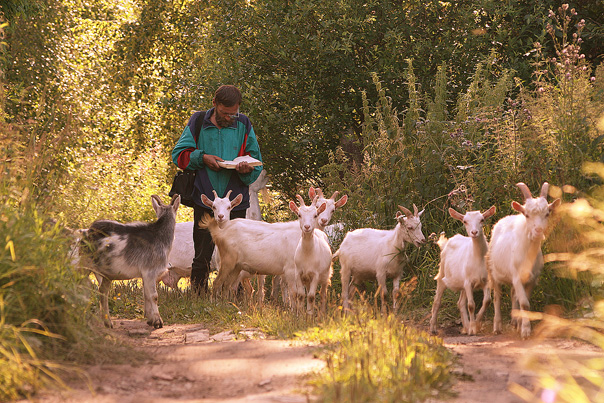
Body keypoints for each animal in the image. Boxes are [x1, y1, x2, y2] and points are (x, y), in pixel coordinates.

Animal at [81, 194, 179, 330]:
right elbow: (153, 296)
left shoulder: (145, 275)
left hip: (104, 272)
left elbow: (146, 294)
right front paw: (158, 322)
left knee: (102, 291)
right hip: (85, 264)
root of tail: (88, 231)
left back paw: (107, 322)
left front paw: (150, 320)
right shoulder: (150, 271)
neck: (160, 237)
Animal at [430, 207, 496, 336]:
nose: (474, 232)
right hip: (442, 274)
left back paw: (466, 327)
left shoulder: (485, 281)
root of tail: (446, 243)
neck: (478, 259)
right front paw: (473, 328)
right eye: (465, 221)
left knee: (460, 303)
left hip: (462, 283)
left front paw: (476, 324)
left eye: (482, 219)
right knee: (437, 301)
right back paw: (433, 328)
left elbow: (487, 301)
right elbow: (471, 305)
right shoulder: (468, 282)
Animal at [488, 182, 560, 338]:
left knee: (512, 294)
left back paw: (515, 322)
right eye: (527, 215)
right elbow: (524, 303)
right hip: (493, 273)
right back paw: (497, 327)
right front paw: (526, 331)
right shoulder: (516, 277)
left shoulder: (532, 279)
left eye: (547, 213)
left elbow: (525, 302)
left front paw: (522, 325)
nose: (538, 231)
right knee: (497, 297)